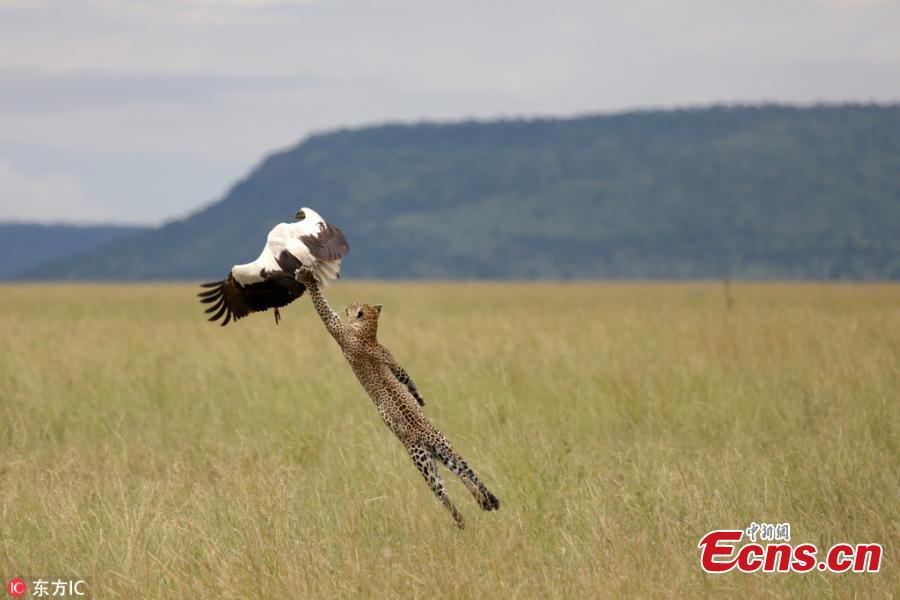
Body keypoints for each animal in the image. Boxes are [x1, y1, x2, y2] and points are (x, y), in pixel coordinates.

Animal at [284, 265, 500, 529]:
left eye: (354, 305)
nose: (348, 304)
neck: (368, 332)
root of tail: (428, 433)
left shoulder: (338, 329)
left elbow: (323, 307)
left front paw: (307, 279)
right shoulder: (391, 359)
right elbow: (405, 377)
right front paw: (419, 399)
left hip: (422, 461)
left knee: (445, 492)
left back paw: (462, 518)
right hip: (442, 452)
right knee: (464, 473)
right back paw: (484, 502)